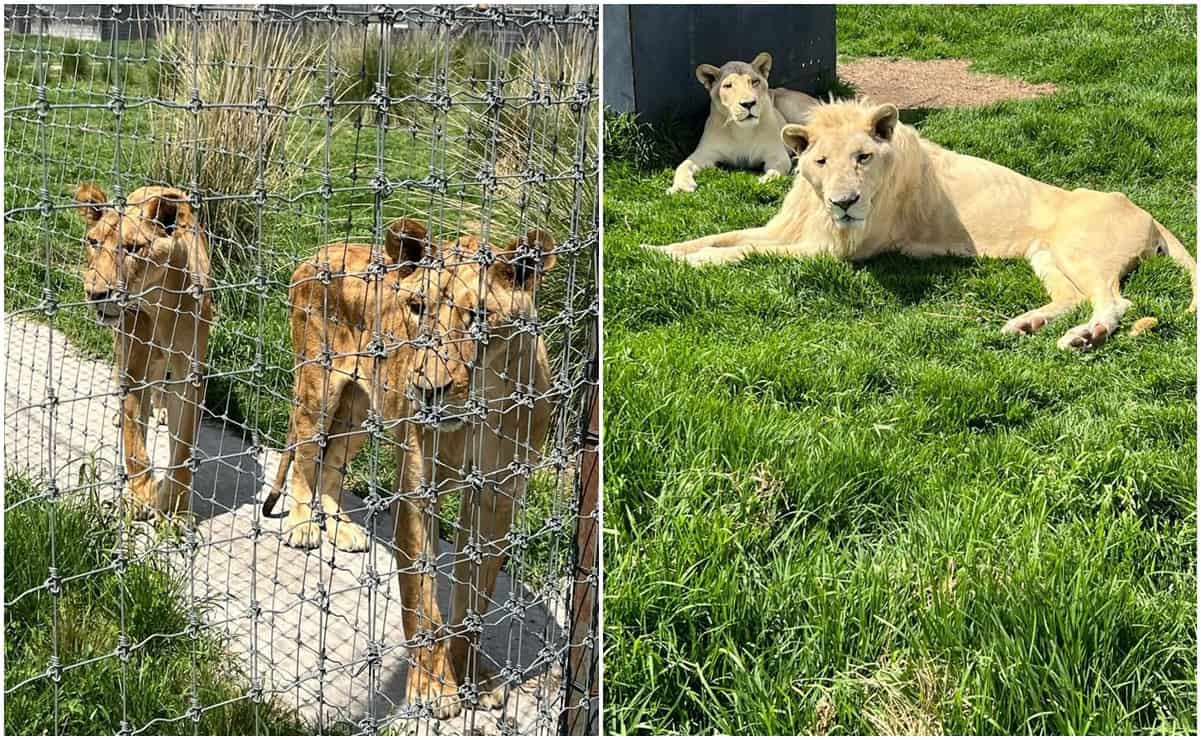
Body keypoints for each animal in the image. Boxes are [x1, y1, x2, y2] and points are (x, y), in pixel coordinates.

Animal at [73, 183, 212, 516]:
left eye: (133, 248)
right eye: (93, 242)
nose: (95, 293)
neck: (158, 301)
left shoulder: (190, 375)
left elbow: (183, 446)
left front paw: (174, 506)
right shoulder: (133, 365)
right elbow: (135, 441)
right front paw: (141, 495)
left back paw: (160, 408)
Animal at [265, 215, 554, 715]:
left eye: (479, 317)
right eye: (417, 307)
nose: (426, 388)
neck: (482, 409)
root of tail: (320, 249)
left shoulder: (497, 496)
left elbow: (474, 597)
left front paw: (476, 677)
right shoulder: (418, 489)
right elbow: (422, 600)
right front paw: (432, 687)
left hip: (361, 408)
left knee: (332, 462)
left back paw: (342, 530)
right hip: (317, 386)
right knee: (304, 455)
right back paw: (302, 526)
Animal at [653, 99, 1196, 350]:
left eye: (863, 157)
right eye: (821, 161)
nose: (845, 203)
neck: (817, 205)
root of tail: (1145, 210)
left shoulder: (837, 252)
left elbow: (743, 251)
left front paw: (698, 263)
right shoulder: (787, 230)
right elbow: (722, 235)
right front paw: (659, 251)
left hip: (1080, 250)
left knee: (1114, 301)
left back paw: (1086, 336)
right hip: (1045, 255)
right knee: (1073, 297)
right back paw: (1026, 323)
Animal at [672, 53, 821, 194]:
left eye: (754, 81)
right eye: (728, 85)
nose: (748, 103)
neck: (741, 131)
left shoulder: (776, 154)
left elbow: (777, 170)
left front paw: (764, 181)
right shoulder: (704, 154)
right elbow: (683, 166)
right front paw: (680, 187)